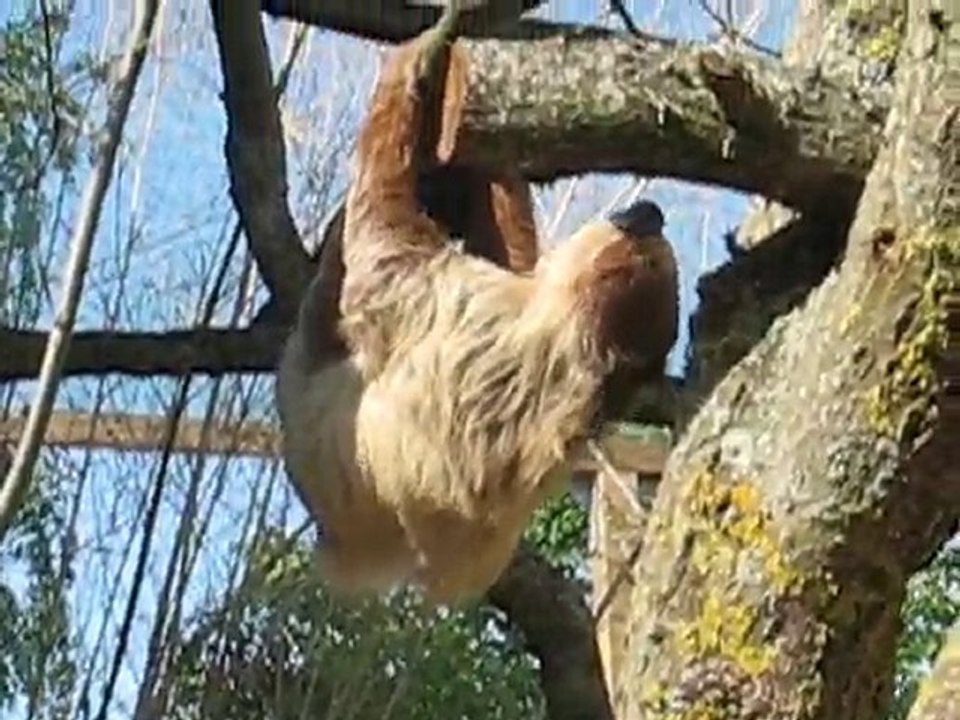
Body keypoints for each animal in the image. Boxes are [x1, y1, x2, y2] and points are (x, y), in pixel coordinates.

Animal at [276, 11, 678, 604]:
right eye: (633, 225)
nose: (646, 212)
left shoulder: (454, 297)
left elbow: (382, 230)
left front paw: (416, 59)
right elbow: (514, 247)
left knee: (331, 286)